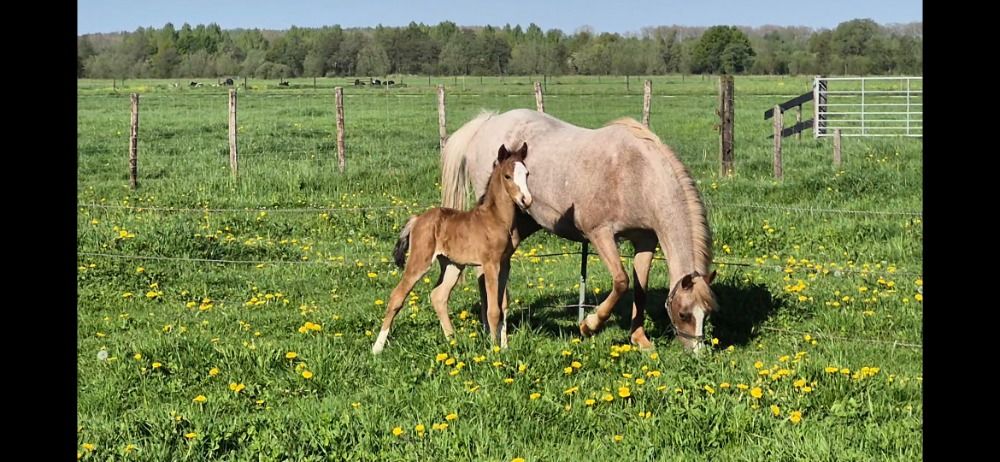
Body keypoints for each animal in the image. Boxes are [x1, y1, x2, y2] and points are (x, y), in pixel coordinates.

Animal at [372, 143, 532, 354]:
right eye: (507, 176)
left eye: (527, 174)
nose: (526, 200)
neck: (497, 219)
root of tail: (417, 219)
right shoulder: (490, 264)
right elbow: (493, 309)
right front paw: (493, 350)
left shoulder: (505, 263)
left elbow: (503, 304)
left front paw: (504, 347)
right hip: (420, 260)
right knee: (397, 296)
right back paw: (377, 347)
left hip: (452, 265)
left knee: (438, 296)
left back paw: (452, 341)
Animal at [441, 109, 717, 352]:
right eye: (684, 314)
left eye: (707, 313)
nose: (697, 352)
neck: (639, 175)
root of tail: (487, 122)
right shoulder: (600, 234)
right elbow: (621, 281)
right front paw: (588, 325)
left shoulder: (646, 240)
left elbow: (640, 290)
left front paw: (640, 340)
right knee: (483, 276)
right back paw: (491, 329)